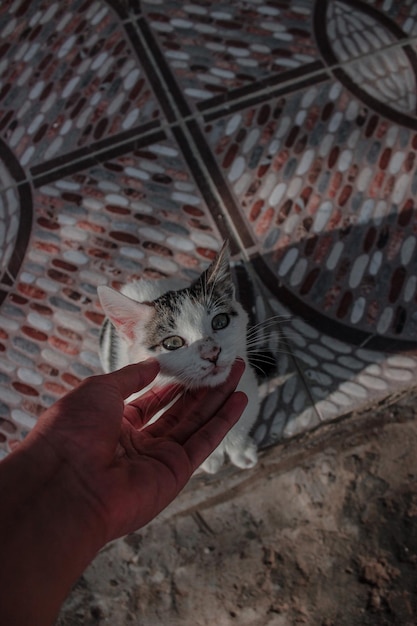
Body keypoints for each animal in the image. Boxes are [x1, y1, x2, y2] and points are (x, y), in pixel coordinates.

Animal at [97, 241, 258, 470]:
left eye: (220, 322)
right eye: (173, 343)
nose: (212, 353)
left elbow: (242, 423)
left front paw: (241, 451)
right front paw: (211, 460)